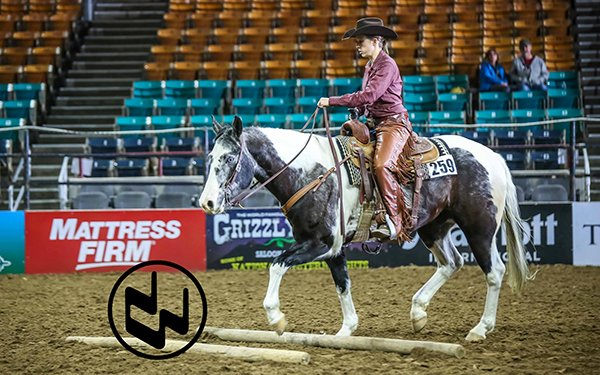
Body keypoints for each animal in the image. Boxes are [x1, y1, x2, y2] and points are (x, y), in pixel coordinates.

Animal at [199, 116, 532, 342]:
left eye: (230, 157)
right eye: (210, 157)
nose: (207, 202)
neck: (310, 174)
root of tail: (494, 157)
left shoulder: (319, 243)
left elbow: (276, 266)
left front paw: (277, 318)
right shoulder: (333, 248)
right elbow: (342, 284)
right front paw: (346, 330)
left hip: (479, 229)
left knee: (494, 272)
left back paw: (480, 328)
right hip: (434, 227)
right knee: (452, 262)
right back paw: (418, 312)